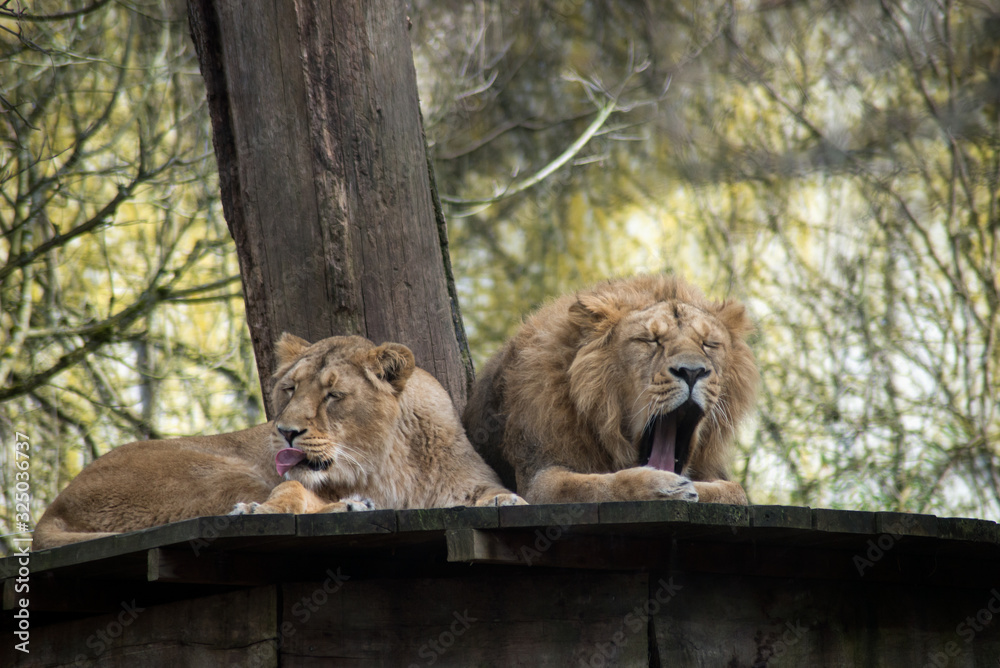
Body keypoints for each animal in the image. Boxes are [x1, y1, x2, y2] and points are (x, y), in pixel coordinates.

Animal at [34, 334, 524, 549]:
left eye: (332, 395)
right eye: (289, 389)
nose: (286, 431)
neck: (385, 466)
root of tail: (53, 507)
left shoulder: (465, 480)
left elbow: (491, 492)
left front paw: (507, 503)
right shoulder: (291, 480)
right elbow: (291, 491)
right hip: (218, 472)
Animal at [462, 275, 758, 506]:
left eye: (709, 344)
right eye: (649, 340)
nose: (692, 372)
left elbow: (736, 491)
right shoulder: (539, 478)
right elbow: (594, 486)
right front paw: (662, 487)